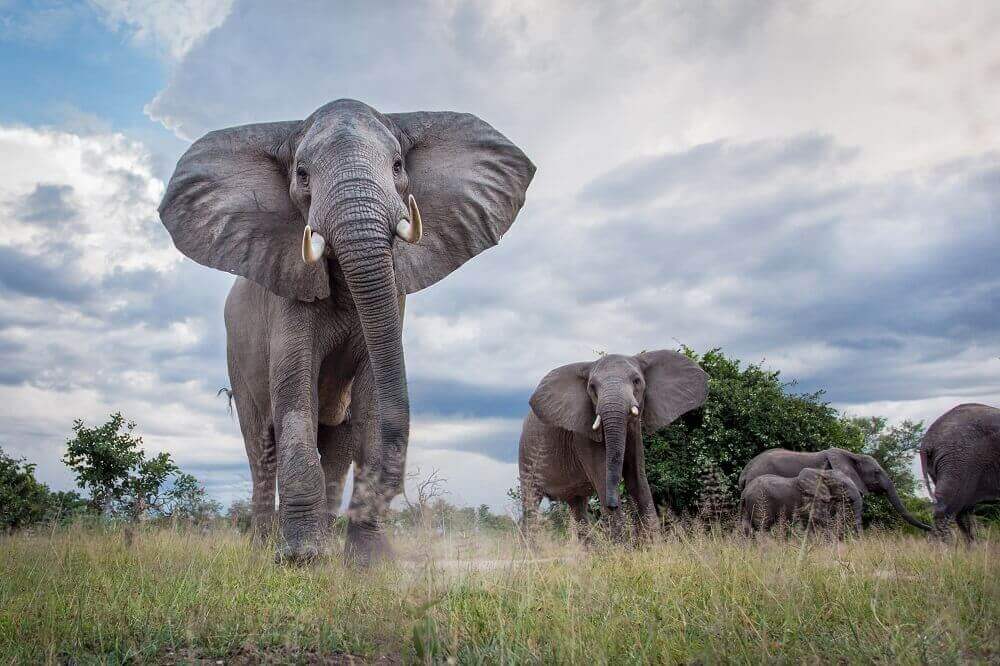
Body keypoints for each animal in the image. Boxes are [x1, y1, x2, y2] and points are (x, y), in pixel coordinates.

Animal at [158, 98, 532, 560]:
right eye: (301, 174)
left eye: (397, 165)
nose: (395, 488)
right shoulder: (289, 289)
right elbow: (294, 392)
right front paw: (299, 559)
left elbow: (372, 395)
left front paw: (368, 563)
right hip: (236, 357)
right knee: (261, 446)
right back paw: (264, 550)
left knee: (337, 445)